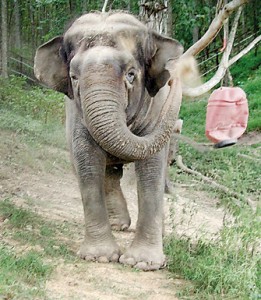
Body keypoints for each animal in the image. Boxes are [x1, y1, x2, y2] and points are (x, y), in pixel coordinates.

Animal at [33, 11, 182, 270]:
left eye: (131, 74)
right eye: (74, 77)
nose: (174, 79)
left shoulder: (156, 106)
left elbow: (151, 168)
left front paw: (142, 263)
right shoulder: (76, 114)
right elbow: (86, 161)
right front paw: (99, 257)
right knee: (109, 173)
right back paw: (117, 225)